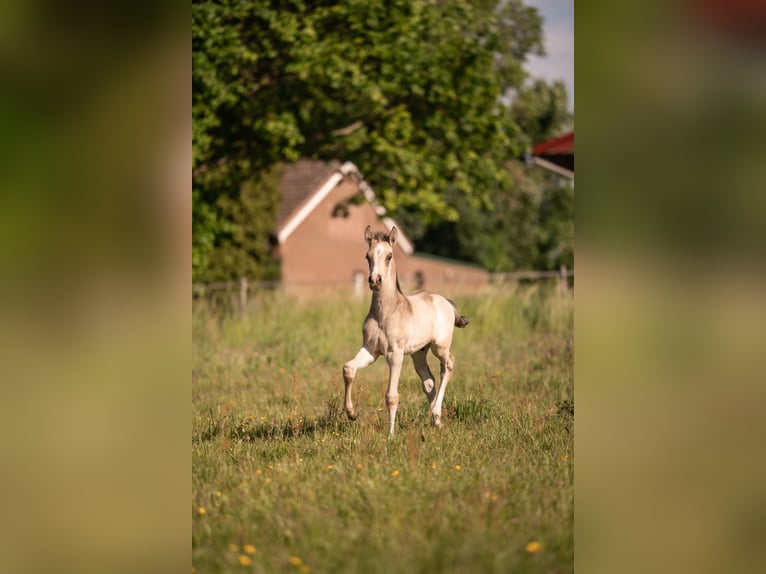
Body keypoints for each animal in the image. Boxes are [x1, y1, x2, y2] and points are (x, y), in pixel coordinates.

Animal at [342, 225, 469, 436]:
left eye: (389, 256)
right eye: (367, 256)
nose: (375, 280)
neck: (385, 313)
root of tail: (444, 300)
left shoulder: (395, 354)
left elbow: (391, 396)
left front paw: (391, 435)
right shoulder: (370, 351)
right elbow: (348, 369)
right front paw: (351, 413)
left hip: (439, 346)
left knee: (448, 365)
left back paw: (436, 412)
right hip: (418, 352)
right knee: (428, 381)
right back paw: (435, 420)